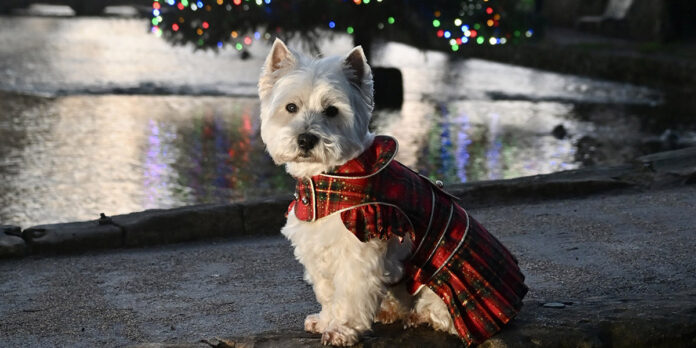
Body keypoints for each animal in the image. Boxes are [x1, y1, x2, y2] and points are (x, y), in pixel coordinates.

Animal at [258, 38, 524, 346]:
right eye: (290, 107)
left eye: (332, 110)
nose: (305, 139)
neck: (330, 177)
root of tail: (513, 301)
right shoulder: (318, 246)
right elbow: (327, 290)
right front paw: (325, 321)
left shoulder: (360, 248)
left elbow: (350, 293)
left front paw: (340, 330)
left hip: (443, 284)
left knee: (441, 313)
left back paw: (416, 315)